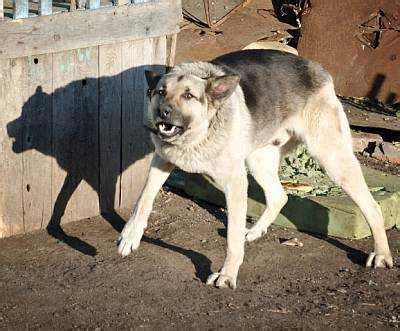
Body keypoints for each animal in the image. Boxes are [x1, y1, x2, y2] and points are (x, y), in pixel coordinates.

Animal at [117, 50, 392, 290]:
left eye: (188, 96)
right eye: (161, 92)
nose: (162, 112)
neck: (199, 134)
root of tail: (317, 68)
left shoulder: (235, 183)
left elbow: (232, 239)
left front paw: (227, 274)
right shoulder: (161, 161)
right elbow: (143, 199)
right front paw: (130, 236)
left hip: (333, 160)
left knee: (372, 206)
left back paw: (381, 254)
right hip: (257, 160)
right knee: (280, 196)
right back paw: (255, 231)